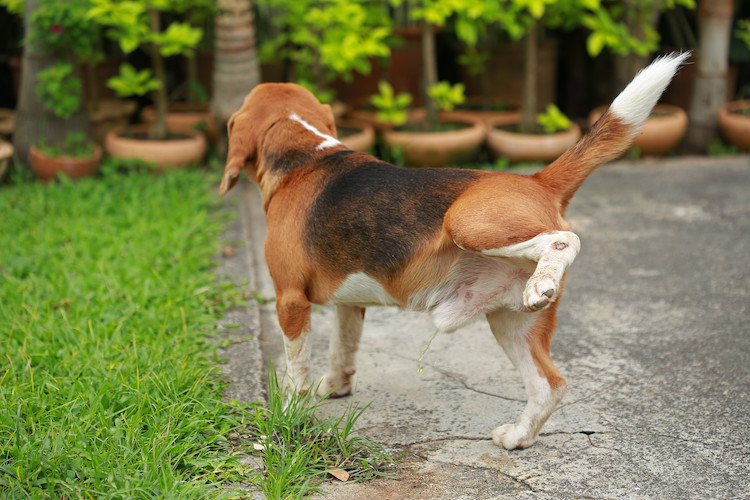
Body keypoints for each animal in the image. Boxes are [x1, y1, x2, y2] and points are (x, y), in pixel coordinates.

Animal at [220, 53, 692, 450]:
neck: (305, 154)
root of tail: (537, 180)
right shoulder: (349, 304)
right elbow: (343, 348)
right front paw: (336, 386)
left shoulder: (290, 301)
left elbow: (295, 368)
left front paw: (289, 414)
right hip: (511, 323)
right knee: (550, 385)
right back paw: (518, 436)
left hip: (465, 223)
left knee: (565, 240)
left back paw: (543, 280)